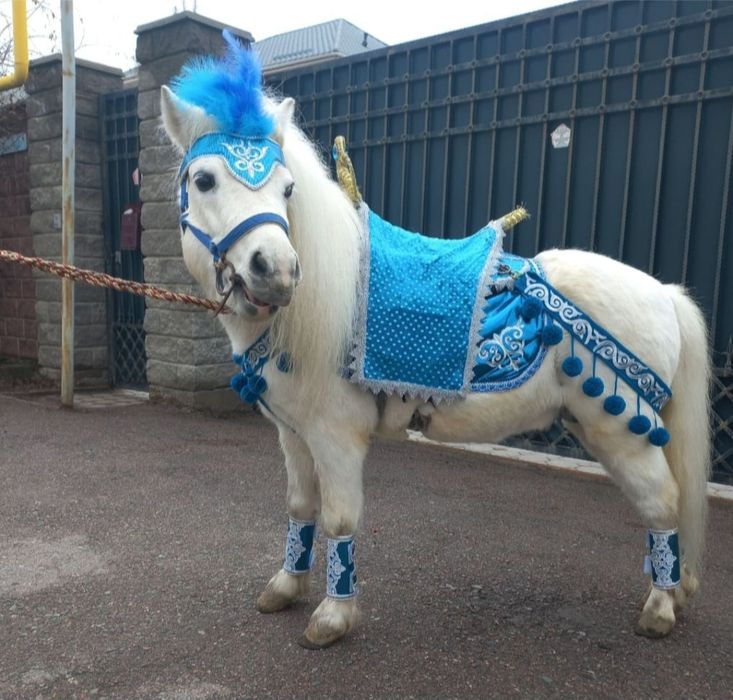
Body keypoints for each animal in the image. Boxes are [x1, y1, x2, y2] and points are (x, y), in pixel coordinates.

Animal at [158, 34, 711, 649]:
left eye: (287, 189)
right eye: (204, 180)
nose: (274, 271)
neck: (317, 309)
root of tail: (663, 292)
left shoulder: (335, 436)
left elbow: (340, 518)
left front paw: (332, 616)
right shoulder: (293, 434)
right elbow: (300, 506)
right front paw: (284, 587)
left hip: (621, 432)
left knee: (663, 502)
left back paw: (660, 607)